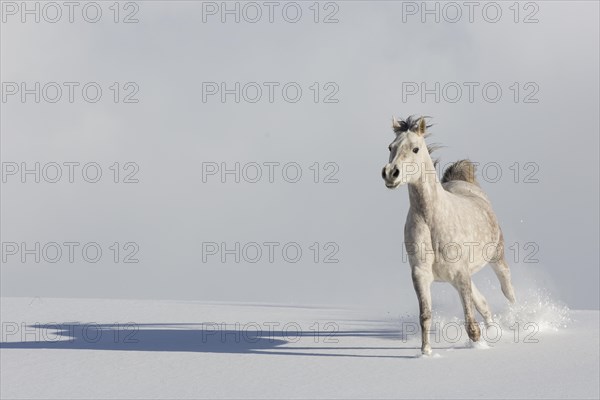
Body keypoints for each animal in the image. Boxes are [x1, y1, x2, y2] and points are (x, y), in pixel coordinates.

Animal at [384, 115, 516, 356]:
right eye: (391, 147)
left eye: (415, 148)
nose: (390, 173)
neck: (431, 219)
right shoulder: (421, 274)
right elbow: (425, 315)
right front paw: (426, 353)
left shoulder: (461, 274)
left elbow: (470, 322)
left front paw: (478, 346)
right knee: (483, 304)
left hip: (496, 259)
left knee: (508, 291)